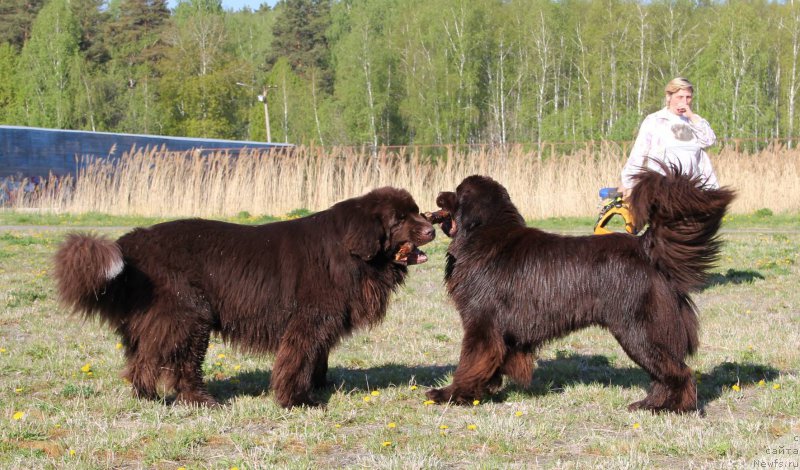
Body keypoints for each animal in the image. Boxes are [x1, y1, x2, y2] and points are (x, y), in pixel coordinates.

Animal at [53, 187, 434, 408]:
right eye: (400, 218)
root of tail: (129, 244)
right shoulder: (307, 321)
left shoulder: (321, 323)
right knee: (167, 364)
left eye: (418, 210)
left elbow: (315, 359)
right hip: (188, 316)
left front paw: (316, 389)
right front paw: (295, 400)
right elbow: (297, 361)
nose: (432, 229)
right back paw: (188, 400)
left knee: (143, 359)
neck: (350, 250)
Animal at [428, 168, 736, 412]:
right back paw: (649, 404)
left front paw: (450, 394)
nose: (439, 194)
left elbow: (471, 362)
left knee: (678, 371)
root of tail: (645, 248)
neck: (483, 233)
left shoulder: (482, 322)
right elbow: (490, 362)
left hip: (639, 330)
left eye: (457, 192)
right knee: (664, 373)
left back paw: (674, 408)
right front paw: (484, 389)